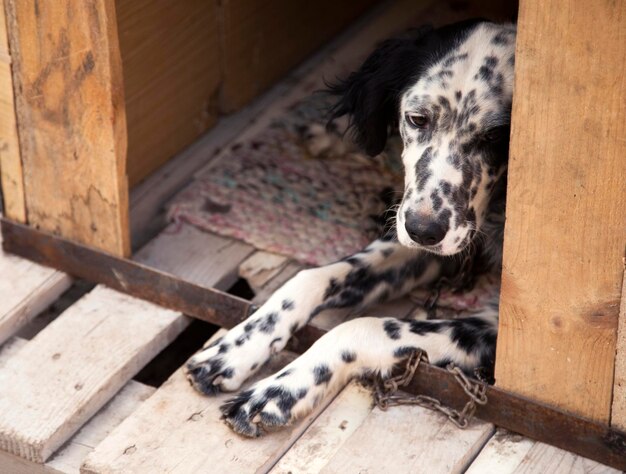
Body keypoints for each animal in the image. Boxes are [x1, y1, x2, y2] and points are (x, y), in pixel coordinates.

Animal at [184, 19, 512, 436]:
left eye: (496, 137)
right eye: (417, 118)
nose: (423, 230)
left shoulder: (501, 330)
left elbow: (362, 327)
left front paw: (276, 392)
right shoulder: (422, 243)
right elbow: (311, 277)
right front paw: (235, 349)